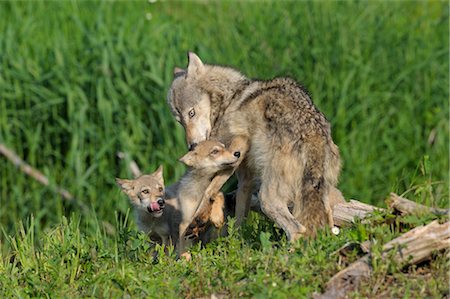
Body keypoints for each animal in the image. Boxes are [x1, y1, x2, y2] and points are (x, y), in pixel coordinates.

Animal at [168, 53, 342, 241]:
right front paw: (235, 240)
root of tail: (313, 135)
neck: (229, 100)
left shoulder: (237, 150)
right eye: (180, 121)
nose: (192, 145)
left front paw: (198, 220)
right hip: (320, 197)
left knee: (297, 230)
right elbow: (237, 213)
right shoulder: (245, 177)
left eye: (191, 113)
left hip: (267, 199)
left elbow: (208, 190)